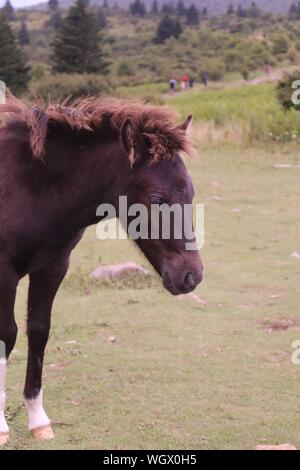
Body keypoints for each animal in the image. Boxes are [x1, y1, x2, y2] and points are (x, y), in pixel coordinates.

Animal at [0, 94, 204, 444]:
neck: (30, 186)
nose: (192, 276)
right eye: (156, 199)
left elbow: (38, 332)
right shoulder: (3, 273)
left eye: (190, 192)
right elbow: (6, 335)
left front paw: (39, 421)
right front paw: (1, 427)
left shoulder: (53, 266)